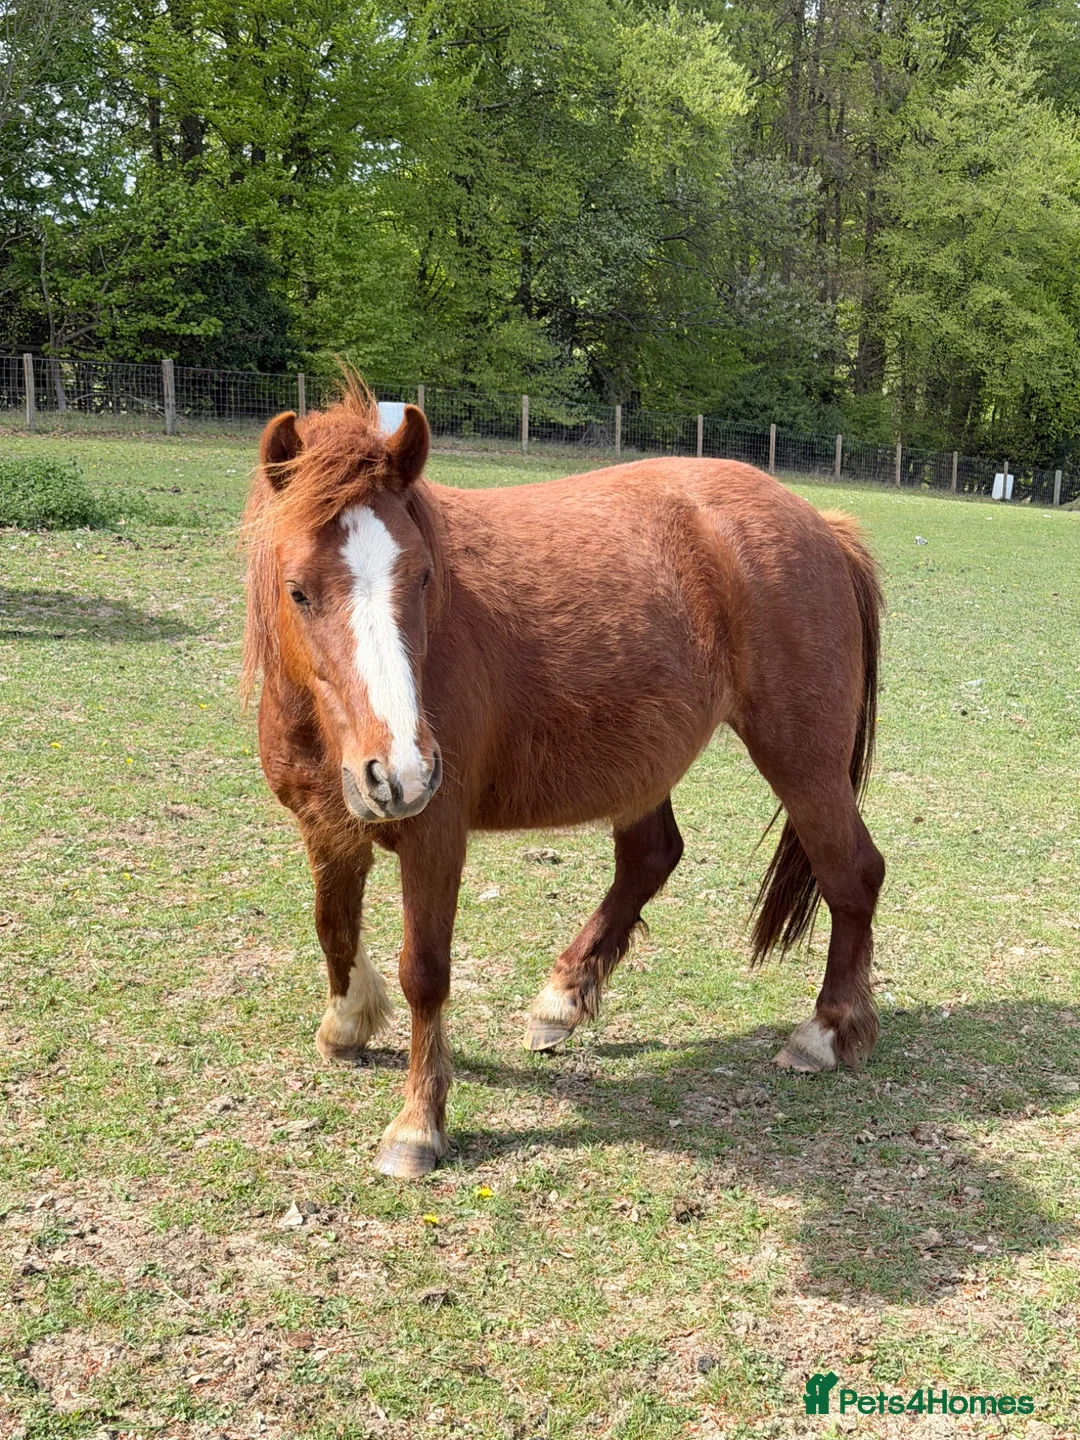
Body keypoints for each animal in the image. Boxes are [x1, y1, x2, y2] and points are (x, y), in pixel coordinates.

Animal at [242, 383, 885, 1180]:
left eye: (422, 577)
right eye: (298, 591)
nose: (401, 771)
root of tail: (820, 523)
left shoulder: (434, 834)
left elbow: (425, 970)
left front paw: (417, 1125)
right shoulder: (325, 823)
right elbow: (332, 926)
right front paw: (347, 1023)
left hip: (804, 762)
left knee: (853, 872)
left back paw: (826, 1032)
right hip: (642, 763)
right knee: (650, 858)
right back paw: (562, 1000)